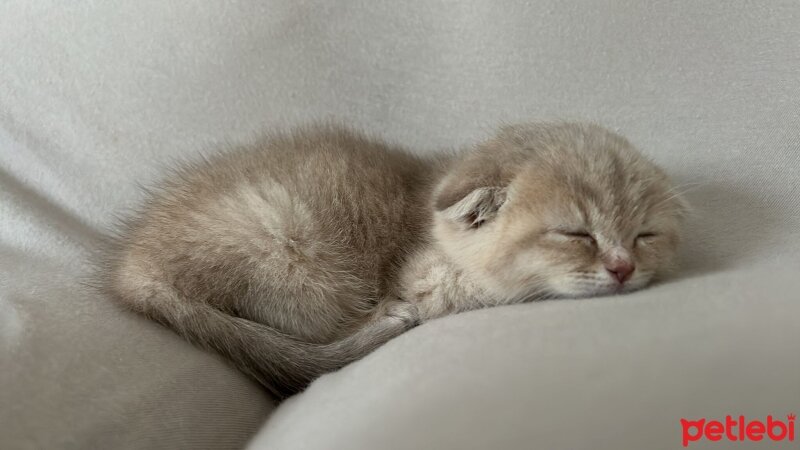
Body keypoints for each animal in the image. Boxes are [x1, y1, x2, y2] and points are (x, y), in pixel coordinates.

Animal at [101, 120, 688, 398]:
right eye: (575, 233)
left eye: (645, 235)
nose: (623, 268)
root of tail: (134, 267)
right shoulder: (425, 284)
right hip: (291, 250)